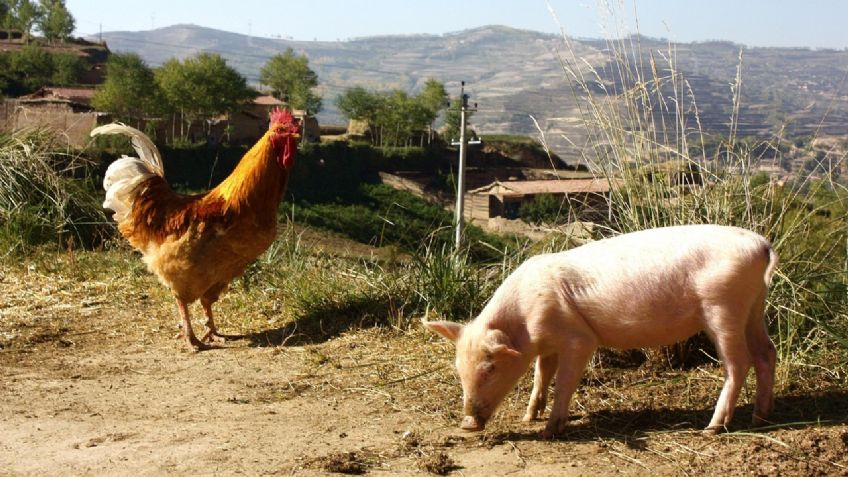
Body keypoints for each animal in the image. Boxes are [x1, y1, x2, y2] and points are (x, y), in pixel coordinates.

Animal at [424, 224, 778, 438]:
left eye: (491, 368)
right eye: (458, 369)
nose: (467, 423)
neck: (525, 319)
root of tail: (761, 244)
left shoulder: (579, 339)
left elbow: (564, 381)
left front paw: (550, 430)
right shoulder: (548, 343)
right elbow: (541, 374)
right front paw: (528, 417)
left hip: (723, 307)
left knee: (738, 363)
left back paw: (712, 428)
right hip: (754, 305)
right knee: (766, 352)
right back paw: (760, 418)